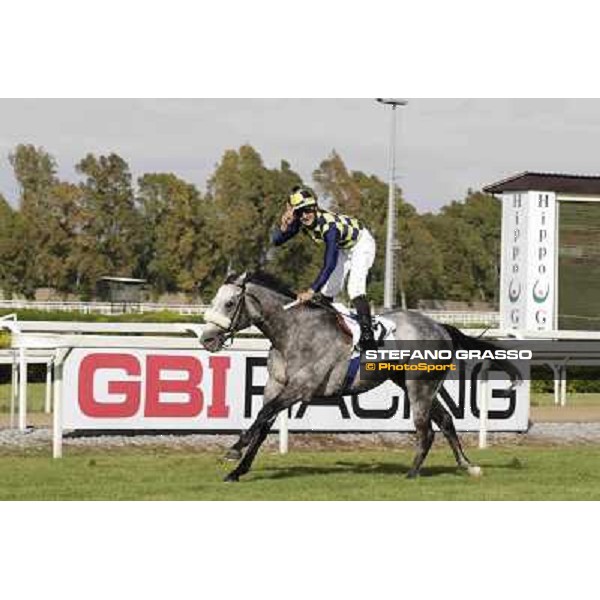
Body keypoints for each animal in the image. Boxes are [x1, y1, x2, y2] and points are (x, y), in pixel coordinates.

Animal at [203, 272, 520, 482]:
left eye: (229, 303)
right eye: (214, 300)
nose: (207, 339)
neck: (293, 331)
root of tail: (441, 326)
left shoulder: (301, 387)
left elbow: (262, 416)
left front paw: (233, 450)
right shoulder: (275, 385)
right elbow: (262, 423)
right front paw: (237, 471)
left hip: (420, 385)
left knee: (427, 429)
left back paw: (412, 473)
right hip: (414, 384)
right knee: (446, 421)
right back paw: (468, 465)